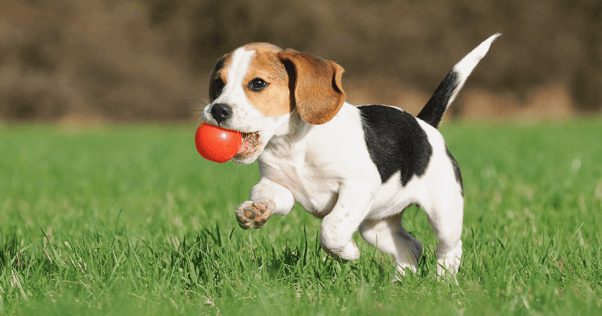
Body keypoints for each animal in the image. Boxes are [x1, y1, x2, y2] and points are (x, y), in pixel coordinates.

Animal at [202, 34, 496, 276]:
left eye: (258, 83)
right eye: (218, 84)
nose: (217, 110)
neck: (292, 145)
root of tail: (424, 124)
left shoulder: (357, 186)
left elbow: (332, 228)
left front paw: (348, 253)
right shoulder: (279, 187)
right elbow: (265, 194)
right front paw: (255, 211)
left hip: (444, 213)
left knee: (449, 248)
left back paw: (444, 282)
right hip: (376, 226)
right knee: (411, 246)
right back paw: (400, 284)